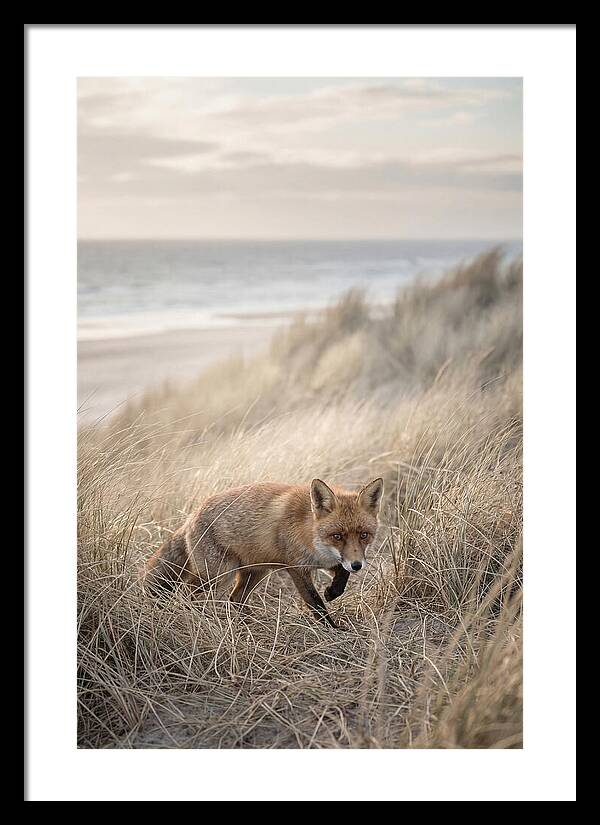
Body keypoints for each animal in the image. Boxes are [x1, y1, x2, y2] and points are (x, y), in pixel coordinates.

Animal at [143, 476, 384, 629]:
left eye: (364, 535)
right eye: (337, 536)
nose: (357, 566)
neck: (309, 532)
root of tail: (191, 516)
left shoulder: (329, 561)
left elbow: (341, 576)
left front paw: (332, 592)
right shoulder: (296, 568)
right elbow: (315, 603)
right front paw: (333, 629)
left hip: (256, 572)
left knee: (235, 598)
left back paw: (249, 623)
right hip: (218, 576)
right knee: (187, 593)